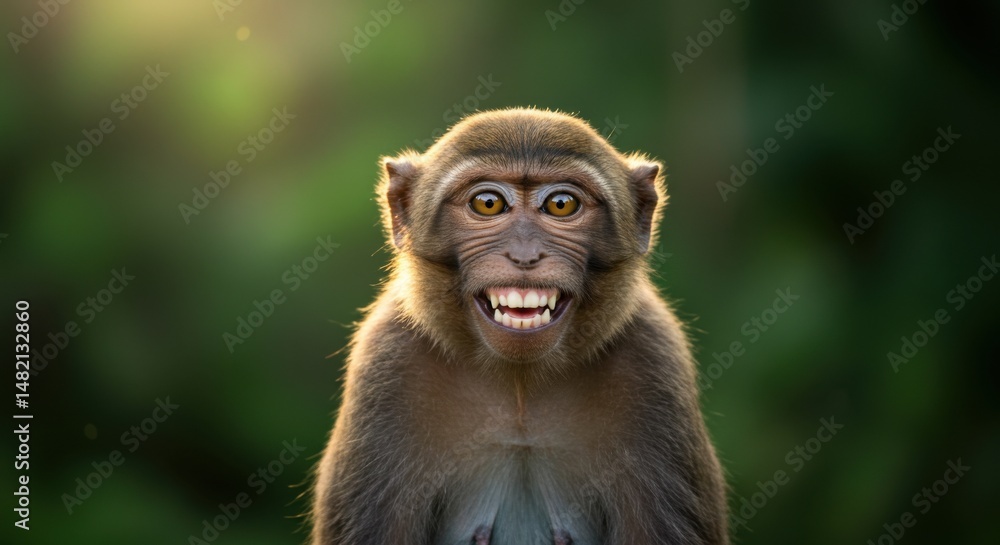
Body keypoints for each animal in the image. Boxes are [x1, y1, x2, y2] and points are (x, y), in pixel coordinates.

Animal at [310, 108, 728, 545]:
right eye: (488, 203)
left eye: (561, 204)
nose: (525, 254)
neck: (520, 387)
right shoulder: (386, 364)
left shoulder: (654, 363)